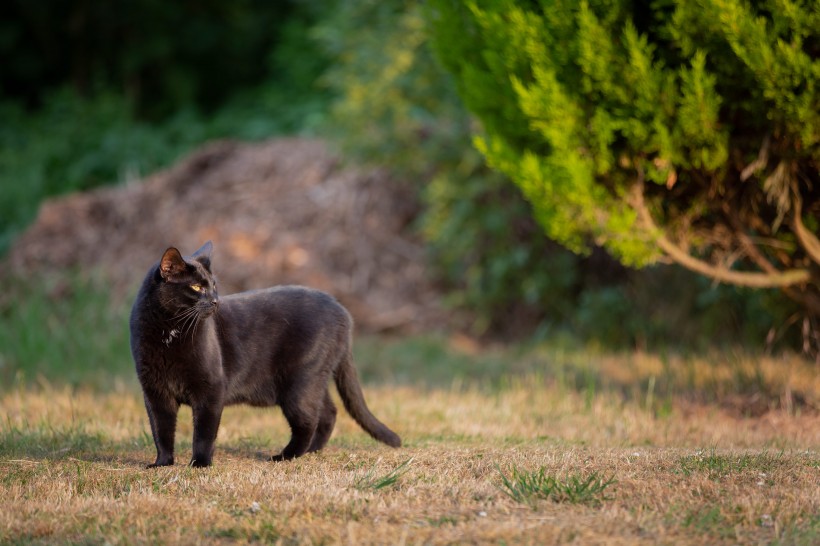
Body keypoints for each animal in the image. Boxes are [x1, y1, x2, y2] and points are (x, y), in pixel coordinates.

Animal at [130, 240, 402, 466]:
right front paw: (162, 463)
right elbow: (161, 430)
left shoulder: (211, 390)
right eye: (197, 286)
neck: (170, 332)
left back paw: (286, 456)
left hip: (300, 382)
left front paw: (200, 464)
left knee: (308, 421)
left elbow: (204, 434)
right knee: (328, 413)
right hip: (313, 380)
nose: (216, 301)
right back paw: (311, 452)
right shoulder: (155, 393)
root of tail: (342, 311)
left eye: (214, 285)